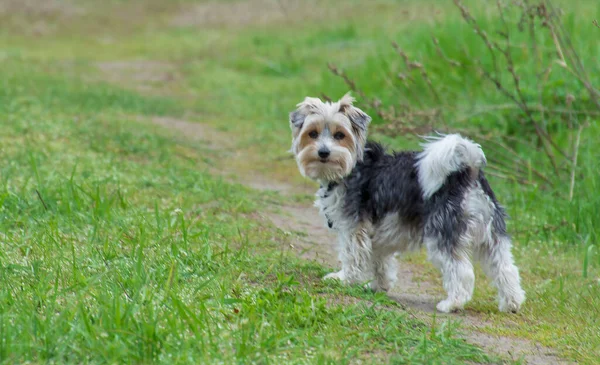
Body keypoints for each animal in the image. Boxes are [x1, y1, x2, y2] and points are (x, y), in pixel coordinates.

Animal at [288, 92, 524, 312]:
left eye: (339, 135)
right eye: (312, 133)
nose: (323, 152)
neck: (351, 166)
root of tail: (465, 172)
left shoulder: (353, 228)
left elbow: (352, 256)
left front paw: (343, 279)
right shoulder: (378, 236)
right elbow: (381, 262)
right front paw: (378, 286)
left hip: (443, 234)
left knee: (461, 271)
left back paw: (452, 304)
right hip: (491, 237)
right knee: (506, 268)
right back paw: (511, 303)